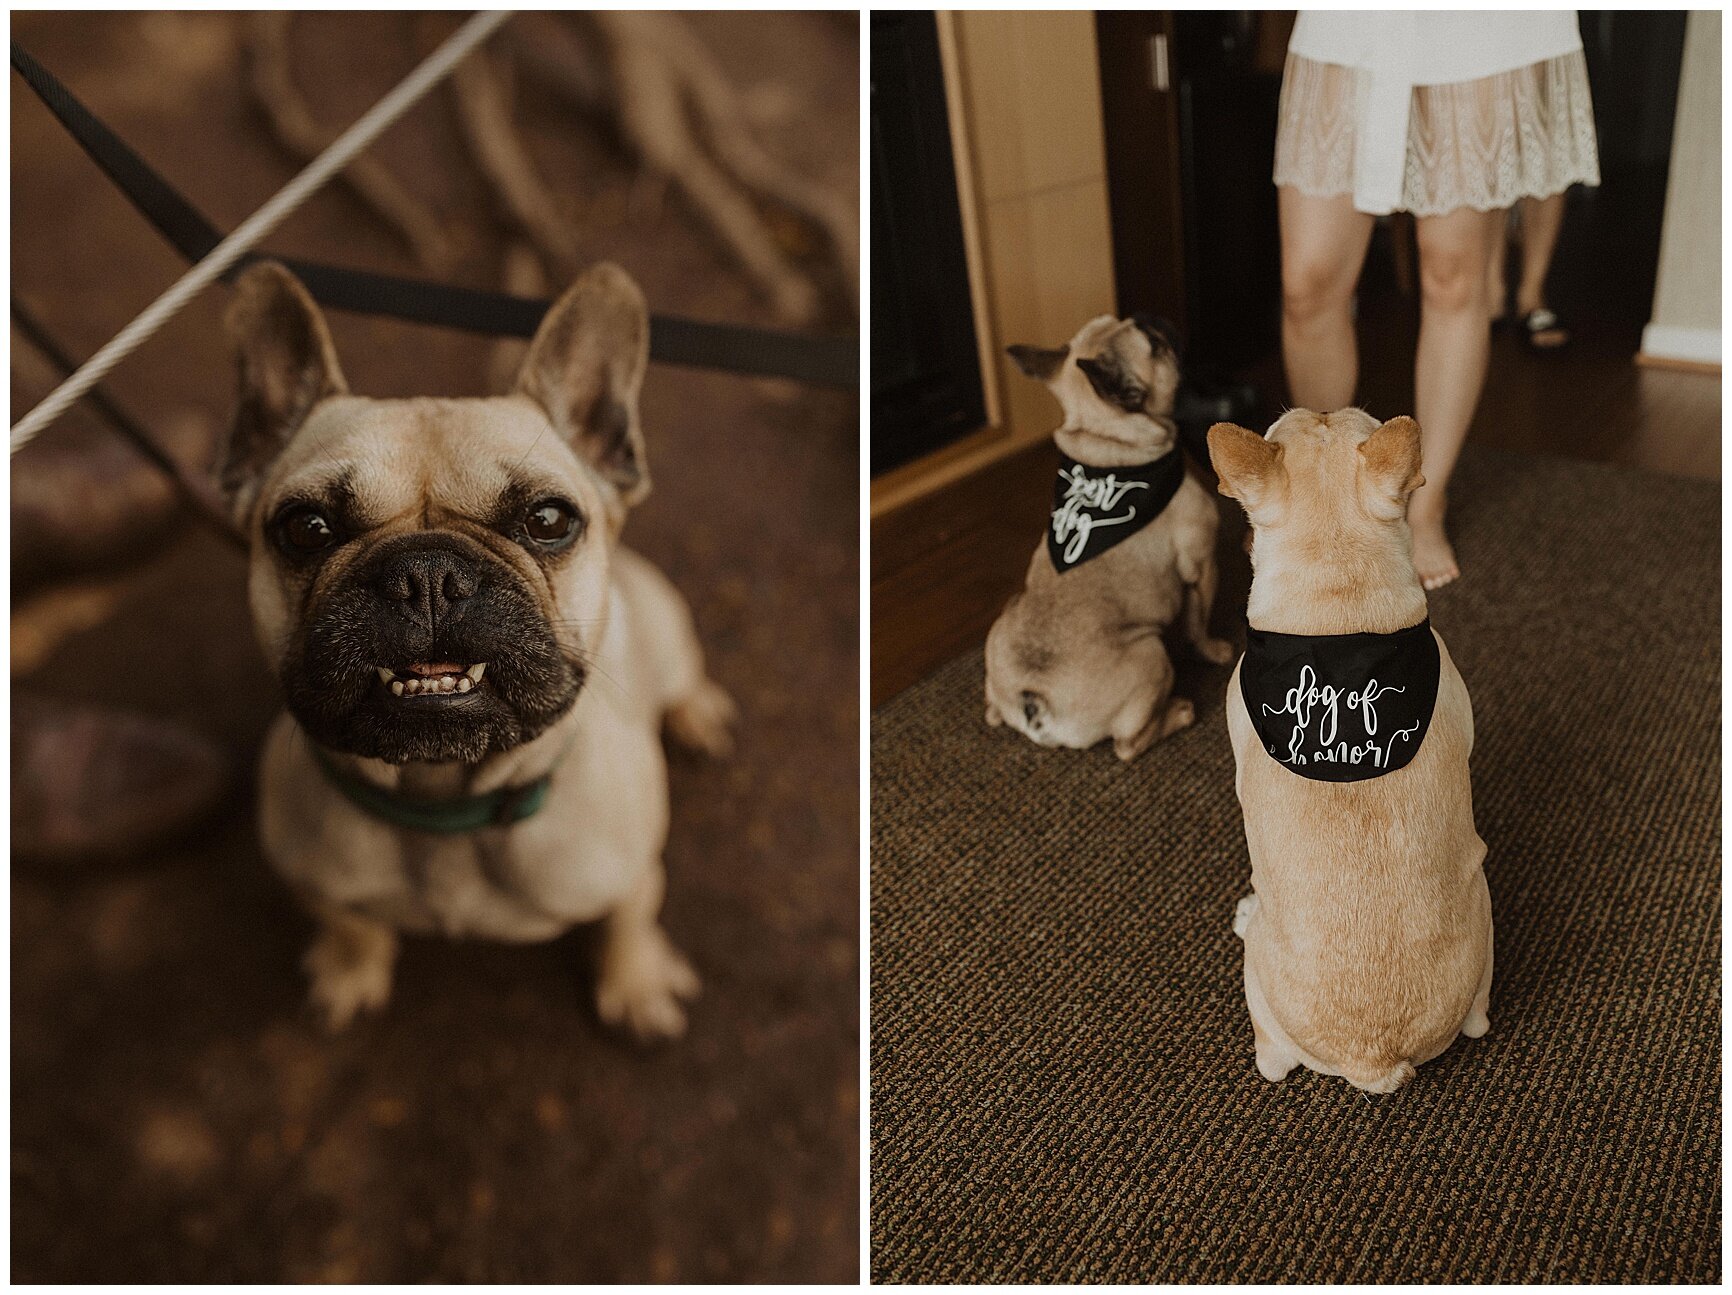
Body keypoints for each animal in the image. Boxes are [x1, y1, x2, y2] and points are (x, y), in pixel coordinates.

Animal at [216, 263, 730, 1038]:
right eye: (305, 527)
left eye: (549, 519)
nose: (426, 572)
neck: (441, 802)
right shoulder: (314, 882)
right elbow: (351, 924)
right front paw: (350, 969)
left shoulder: (635, 875)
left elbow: (627, 923)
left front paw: (636, 984)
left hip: (665, 630)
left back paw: (700, 714)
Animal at [983, 313, 1226, 758]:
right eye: (1154, 344)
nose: (1149, 318)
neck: (1106, 441)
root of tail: (1033, 699)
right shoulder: (1203, 565)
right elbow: (1199, 624)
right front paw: (1214, 650)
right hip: (1150, 655)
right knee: (1127, 745)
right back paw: (1179, 713)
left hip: (1003, 622)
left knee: (992, 710)